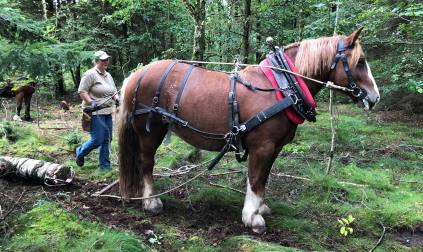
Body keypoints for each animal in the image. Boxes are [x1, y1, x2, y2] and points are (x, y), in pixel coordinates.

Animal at [117, 28, 380, 233]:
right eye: (360, 61)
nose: (375, 97)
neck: (281, 87)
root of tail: (138, 74)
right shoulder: (262, 146)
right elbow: (254, 178)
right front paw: (252, 217)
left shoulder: (275, 148)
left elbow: (264, 178)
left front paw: (260, 207)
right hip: (150, 132)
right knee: (146, 163)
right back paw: (151, 202)